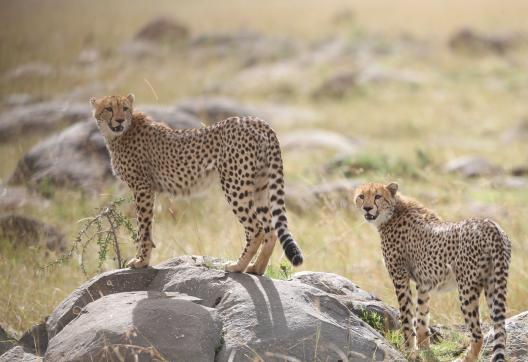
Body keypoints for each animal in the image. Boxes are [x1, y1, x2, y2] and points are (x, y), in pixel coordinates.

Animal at [89, 94, 304, 274]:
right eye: (109, 108)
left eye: (124, 108)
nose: (119, 120)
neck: (120, 134)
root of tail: (256, 120)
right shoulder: (147, 189)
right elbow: (146, 227)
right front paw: (143, 259)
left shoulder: (142, 187)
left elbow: (143, 227)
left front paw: (141, 261)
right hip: (260, 184)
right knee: (270, 230)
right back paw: (256, 268)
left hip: (234, 184)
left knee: (256, 228)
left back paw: (237, 266)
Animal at [354, 182, 512, 362]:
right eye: (361, 196)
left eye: (378, 196)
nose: (367, 208)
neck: (392, 212)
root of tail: (490, 224)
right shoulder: (424, 282)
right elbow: (422, 315)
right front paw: (424, 349)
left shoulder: (400, 277)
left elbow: (407, 316)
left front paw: (409, 351)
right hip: (494, 284)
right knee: (501, 331)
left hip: (467, 288)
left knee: (478, 334)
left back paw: (463, 358)